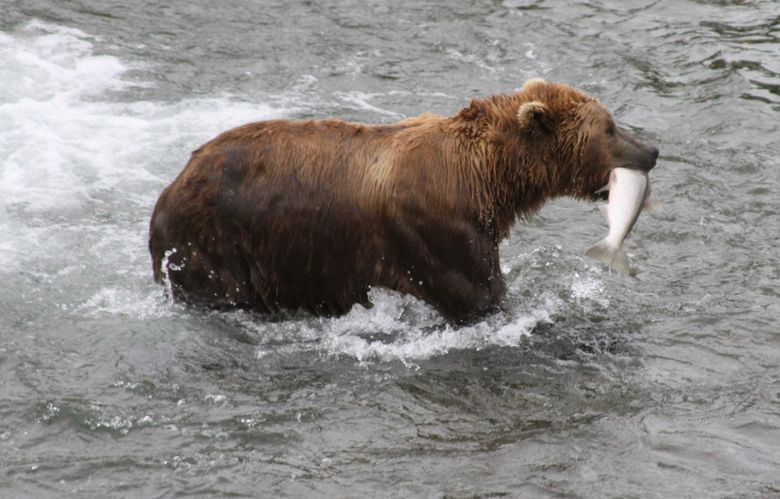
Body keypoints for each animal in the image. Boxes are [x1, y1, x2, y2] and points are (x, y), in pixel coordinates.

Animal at [148, 76, 660, 322]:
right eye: (609, 127)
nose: (652, 150)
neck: (487, 180)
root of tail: (172, 185)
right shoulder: (437, 231)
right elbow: (481, 296)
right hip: (214, 243)